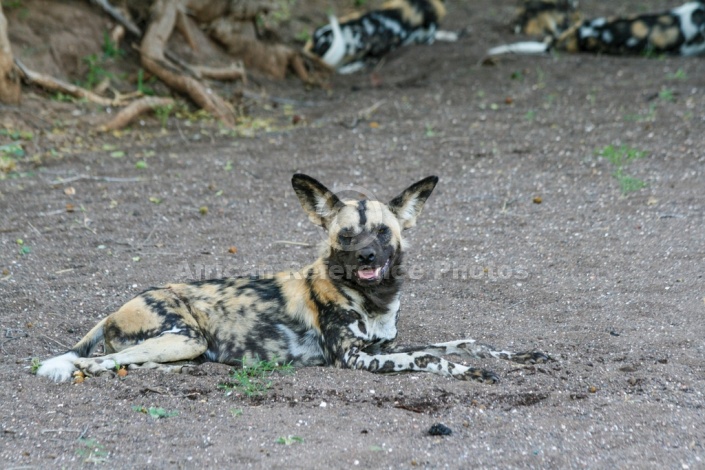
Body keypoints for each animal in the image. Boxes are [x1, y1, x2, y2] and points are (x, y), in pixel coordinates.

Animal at [35, 174, 548, 384]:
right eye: (346, 234)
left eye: (383, 231)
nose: (367, 255)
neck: (373, 300)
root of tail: (114, 309)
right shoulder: (357, 359)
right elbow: (433, 359)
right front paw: (473, 373)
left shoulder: (385, 345)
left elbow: (464, 342)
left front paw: (520, 355)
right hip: (183, 337)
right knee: (97, 363)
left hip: (183, 345)